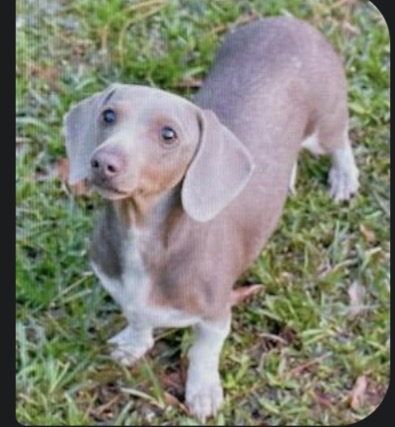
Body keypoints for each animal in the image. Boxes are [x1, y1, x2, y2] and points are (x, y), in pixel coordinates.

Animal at [63, 15, 360, 422]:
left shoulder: (217, 312)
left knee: (340, 140)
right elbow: (138, 318)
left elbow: (204, 352)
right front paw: (132, 345)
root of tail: (288, 20)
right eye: (108, 115)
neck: (143, 234)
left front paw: (203, 392)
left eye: (168, 134)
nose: (103, 162)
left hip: (324, 123)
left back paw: (344, 177)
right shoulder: (121, 289)